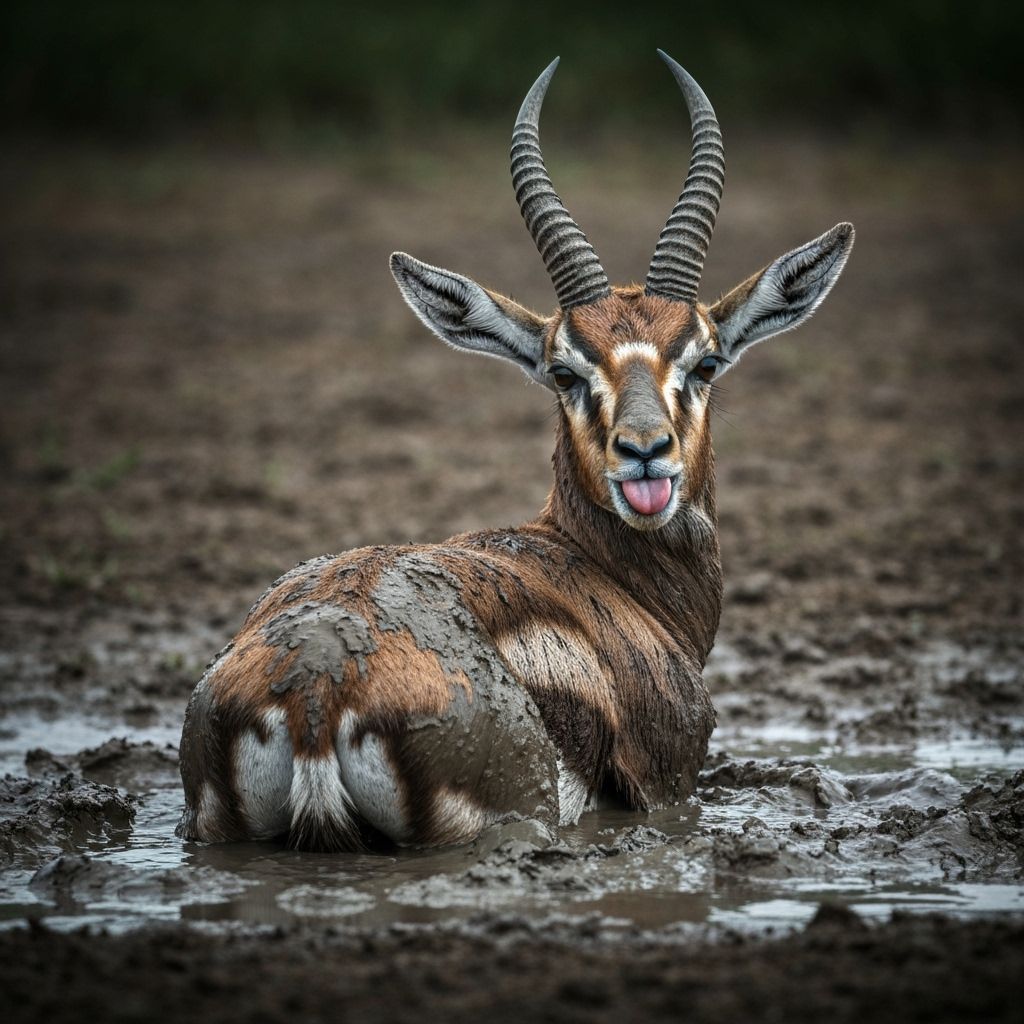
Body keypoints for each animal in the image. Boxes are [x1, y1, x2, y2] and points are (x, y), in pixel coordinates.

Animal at [177, 52, 853, 851]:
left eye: (705, 362)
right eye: (564, 371)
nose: (645, 453)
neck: (607, 575)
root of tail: (316, 686)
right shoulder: (667, 787)